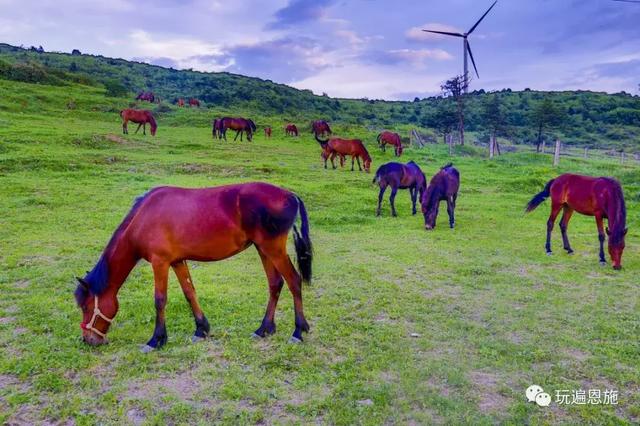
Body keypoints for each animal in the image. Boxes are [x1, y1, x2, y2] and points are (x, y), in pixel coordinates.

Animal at [75, 182, 312, 350]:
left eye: (86, 307)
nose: (88, 339)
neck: (143, 218)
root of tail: (290, 195)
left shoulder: (160, 263)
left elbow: (159, 300)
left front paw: (157, 339)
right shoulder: (177, 261)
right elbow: (190, 292)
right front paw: (201, 329)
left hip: (273, 249)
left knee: (294, 281)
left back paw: (298, 332)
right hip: (263, 249)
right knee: (275, 283)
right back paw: (264, 329)